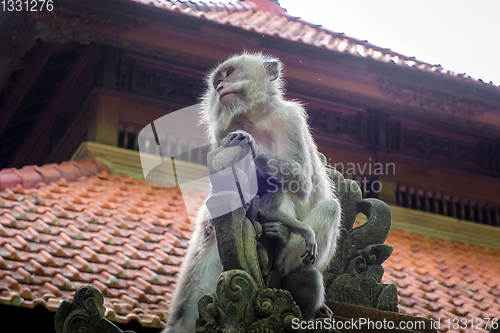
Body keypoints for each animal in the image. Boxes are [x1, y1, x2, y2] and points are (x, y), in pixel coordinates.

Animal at [166, 53, 342, 330]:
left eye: (229, 73)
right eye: (217, 80)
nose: (219, 86)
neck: (252, 118)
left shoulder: (290, 118)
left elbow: (301, 181)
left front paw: (250, 143)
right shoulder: (221, 134)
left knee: (326, 207)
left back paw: (283, 254)